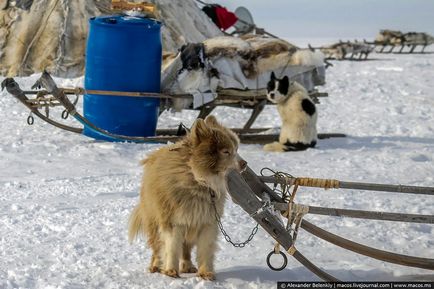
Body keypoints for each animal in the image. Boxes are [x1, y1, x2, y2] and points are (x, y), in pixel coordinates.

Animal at [129, 115, 244, 280]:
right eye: (226, 151)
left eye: (236, 149)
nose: (244, 164)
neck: (198, 179)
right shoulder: (173, 220)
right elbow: (171, 246)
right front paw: (170, 271)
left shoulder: (207, 221)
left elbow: (206, 248)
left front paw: (206, 273)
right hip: (154, 219)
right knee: (157, 246)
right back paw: (155, 266)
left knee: (186, 249)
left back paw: (188, 266)